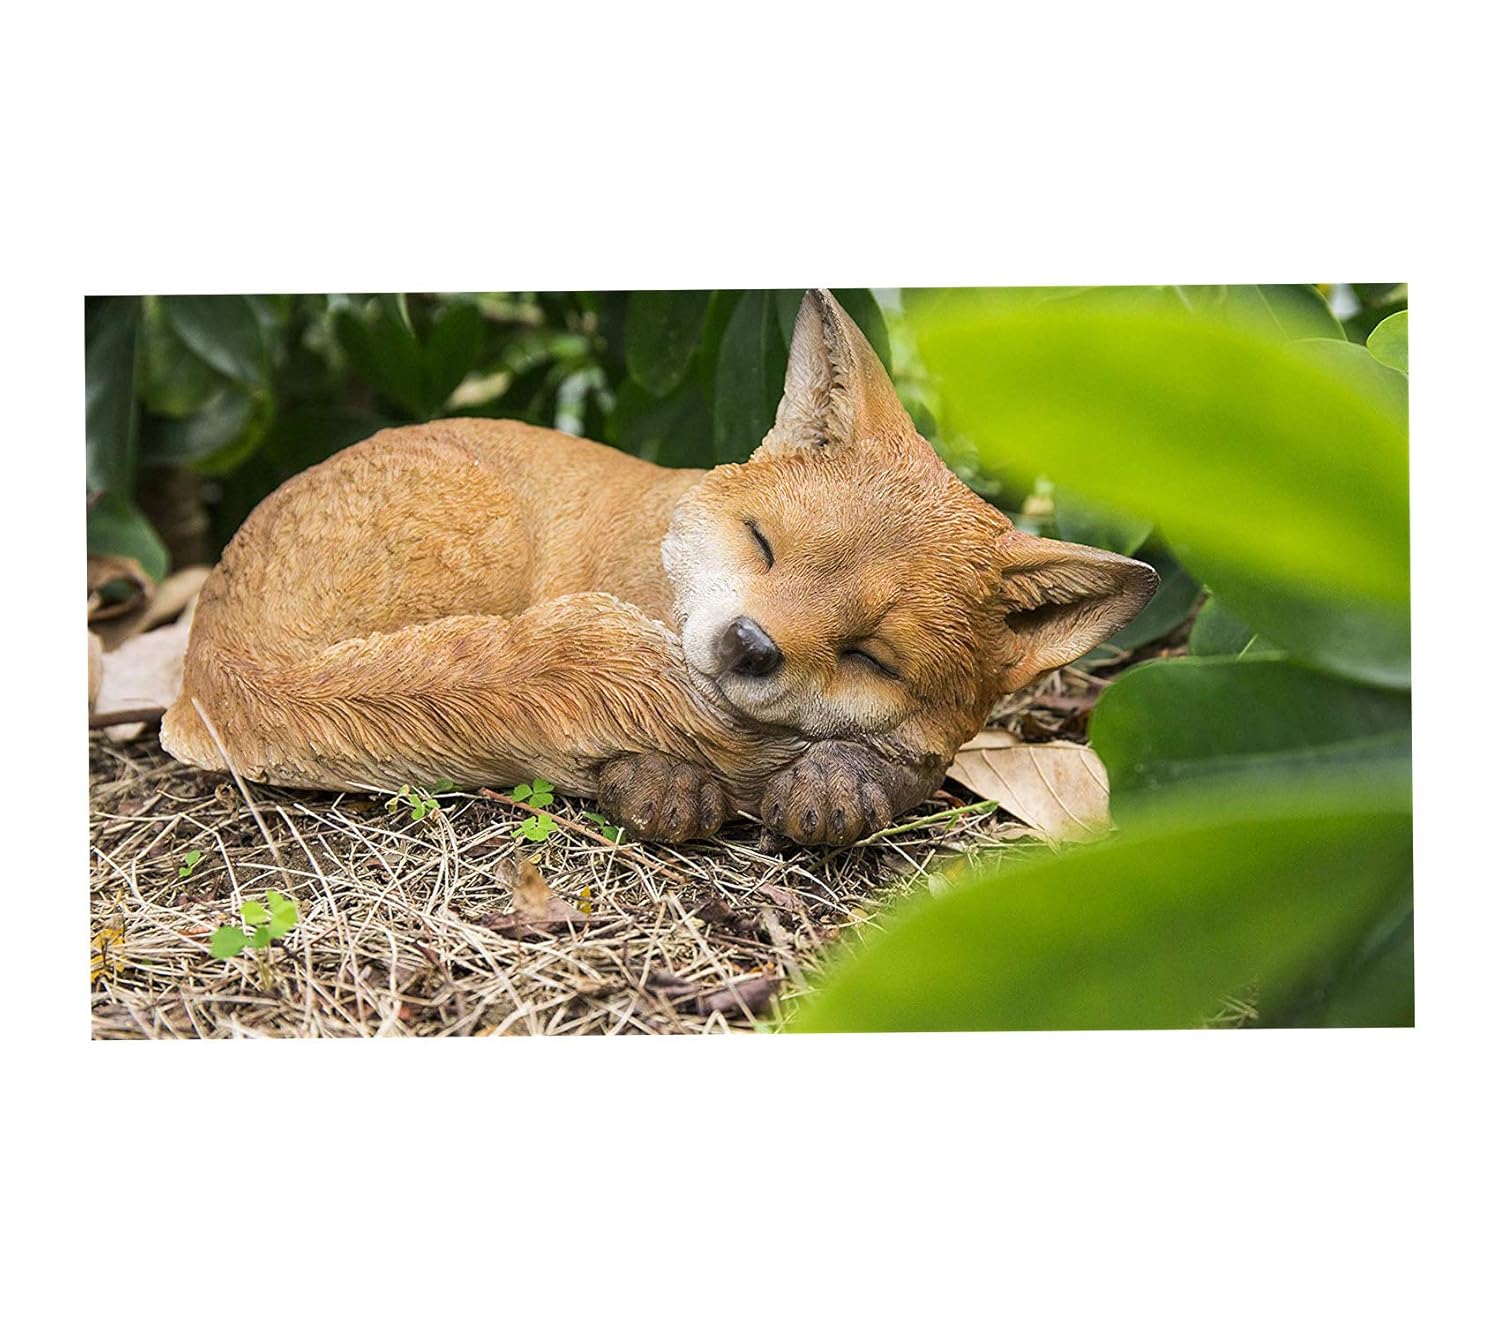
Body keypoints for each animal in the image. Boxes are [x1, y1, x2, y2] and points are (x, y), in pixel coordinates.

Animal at [161, 290, 1157, 846]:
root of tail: (218, 656)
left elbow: (890, 763)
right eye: (764, 544)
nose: (750, 645)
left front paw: (839, 782)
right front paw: (662, 783)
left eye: (869, 655)